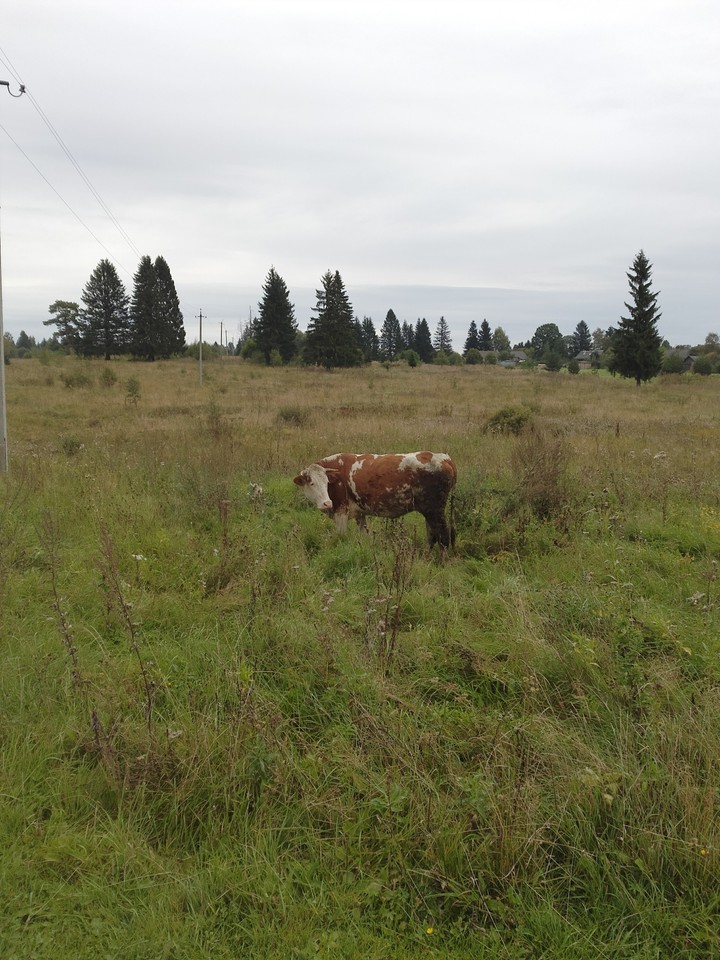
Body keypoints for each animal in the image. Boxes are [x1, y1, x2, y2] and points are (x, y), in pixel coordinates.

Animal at [293, 451, 457, 548]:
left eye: (327, 482)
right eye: (311, 483)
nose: (327, 503)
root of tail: (443, 457)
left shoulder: (341, 511)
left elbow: (341, 536)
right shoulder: (360, 514)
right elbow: (364, 535)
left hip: (435, 511)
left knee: (443, 536)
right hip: (430, 513)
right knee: (432, 535)